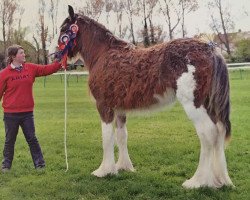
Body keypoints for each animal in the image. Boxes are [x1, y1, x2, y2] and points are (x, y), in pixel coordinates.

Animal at [52, 5, 234, 189]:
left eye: (64, 30)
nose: (55, 55)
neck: (103, 54)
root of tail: (210, 49)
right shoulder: (119, 109)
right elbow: (121, 136)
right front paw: (123, 166)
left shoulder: (104, 106)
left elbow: (107, 137)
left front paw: (104, 171)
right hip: (208, 105)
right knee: (218, 132)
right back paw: (220, 180)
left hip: (194, 105)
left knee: (207, 134)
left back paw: (198, 181)